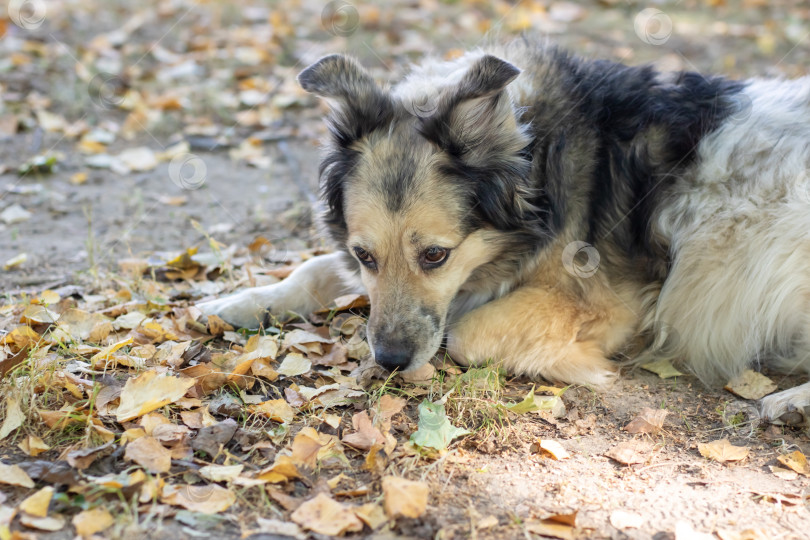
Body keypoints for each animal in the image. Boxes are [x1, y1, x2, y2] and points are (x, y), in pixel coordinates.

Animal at [200, 38, 810, 426]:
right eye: (366, 256)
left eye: (436, 256)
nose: (391, 361)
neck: (533, 166)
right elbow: (312, 269)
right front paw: (233, 302)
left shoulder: (612, 303)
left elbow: (465, 332)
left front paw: (583, 366)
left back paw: (790, 404)